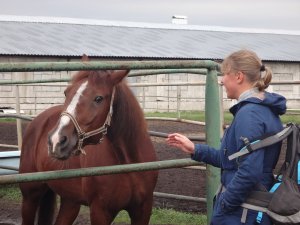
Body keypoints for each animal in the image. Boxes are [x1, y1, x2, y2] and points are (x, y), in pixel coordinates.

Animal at [18, 69, 158, 224]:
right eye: (66, 93)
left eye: (98, 98)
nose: (56, 140)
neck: (129, 165)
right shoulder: (100, 211)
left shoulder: (143, 210)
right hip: (30, 196)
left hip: (70, 201)